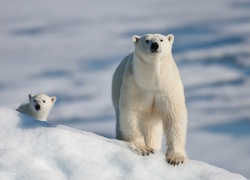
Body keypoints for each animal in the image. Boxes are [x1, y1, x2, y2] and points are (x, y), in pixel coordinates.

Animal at [112, 33, 188, 165]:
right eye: (146, 40)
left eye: (161, 40)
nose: (155, 45)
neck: (153, 83)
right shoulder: (135, 85)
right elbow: (131, 112)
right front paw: (144, 149)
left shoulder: (168, 86)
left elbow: (174, 115)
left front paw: (176, 158)